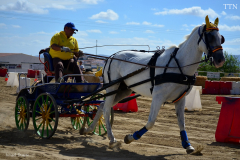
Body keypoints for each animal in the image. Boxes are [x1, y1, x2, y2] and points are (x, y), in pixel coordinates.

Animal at [81, 15, 226, 154]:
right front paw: (130, 137)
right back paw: (111, 138)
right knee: (106, 109)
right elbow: (150, 122)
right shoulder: (158, 97)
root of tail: (111, 57)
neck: (179, 65)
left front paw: (187, 145)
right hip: (112, 87)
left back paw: (89, 129)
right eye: (210, 37)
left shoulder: (180, 99)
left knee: (102, 105)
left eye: (221, 38)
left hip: (124, 90)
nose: (220, 60)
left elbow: (182, 123)